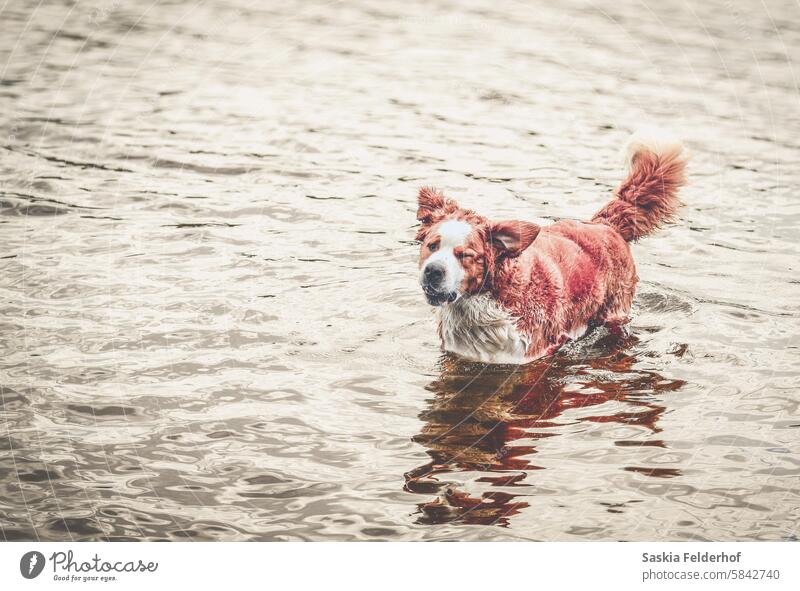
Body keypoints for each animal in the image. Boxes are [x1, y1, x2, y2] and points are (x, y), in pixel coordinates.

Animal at [418, 128, 688, 366]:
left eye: (465, 255)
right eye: (432, 245)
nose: (432, 271)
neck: (479, 305)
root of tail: (604, 223)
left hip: (614, 311)